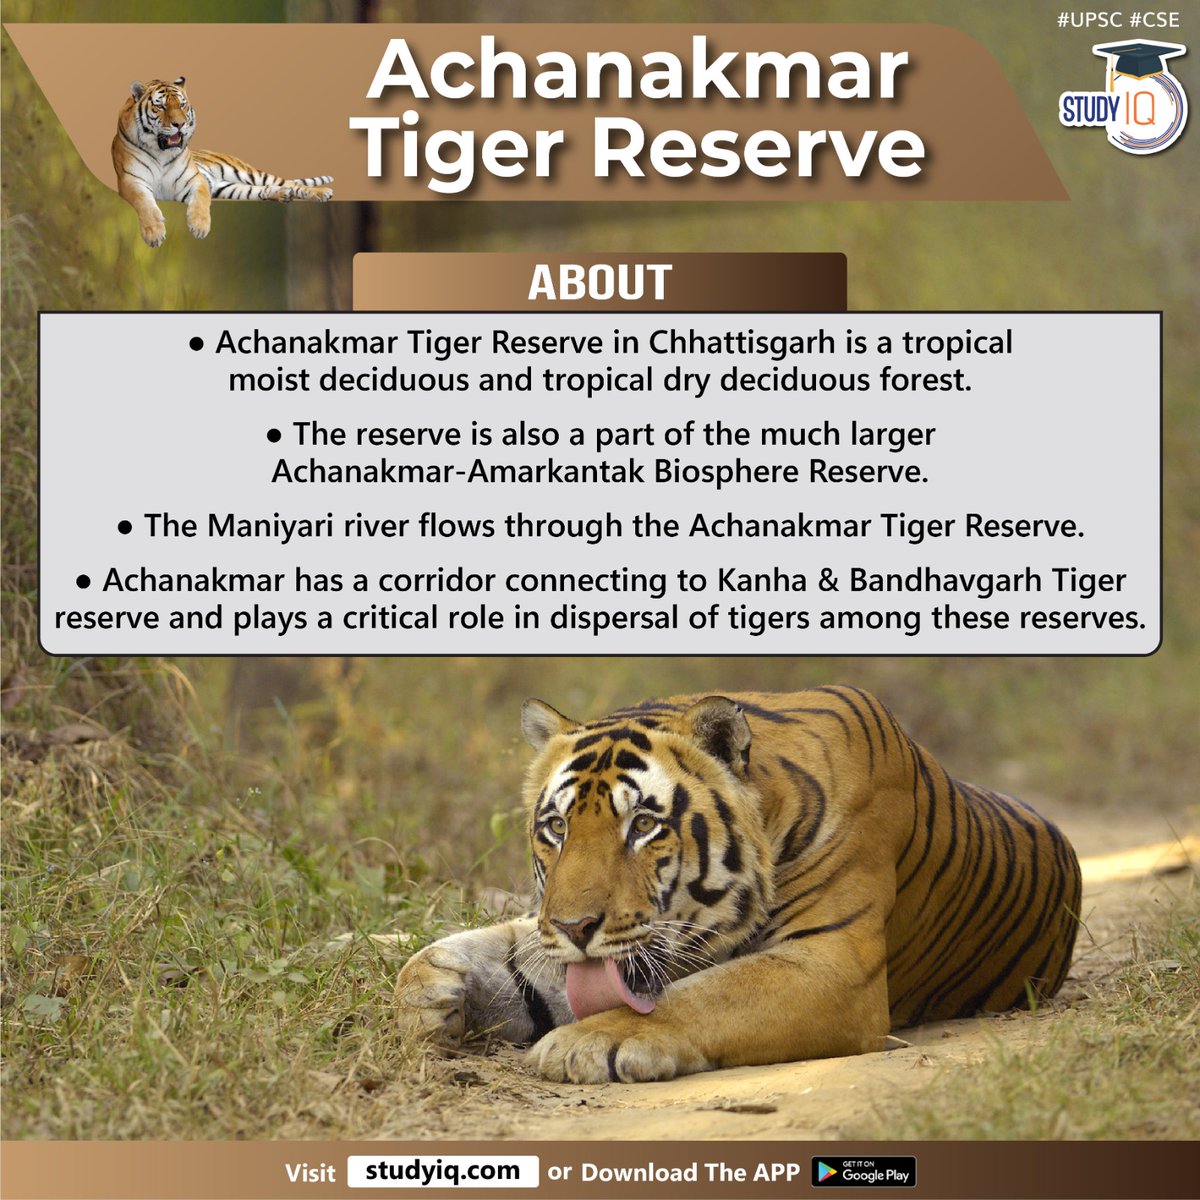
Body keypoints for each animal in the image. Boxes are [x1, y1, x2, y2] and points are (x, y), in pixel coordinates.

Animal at [112, 77, 333, 248]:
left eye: (182, 105)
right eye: (160, 106)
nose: (180, 124)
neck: (161, 153)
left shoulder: (196, 180)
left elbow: (201, 201)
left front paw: (199, 226)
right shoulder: (131, 181)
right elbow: (145, 204)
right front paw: (155, 233)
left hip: (248, 173)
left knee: (290, 183)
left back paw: (321, 193)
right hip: (228, 187)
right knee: (262, 190)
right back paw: (281, 194)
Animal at [395, 687, 1082, 1084]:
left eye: (643, 824)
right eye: (557, 827)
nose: (574, 927)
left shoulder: (831, 964)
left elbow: (703, 996)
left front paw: (587, 1042)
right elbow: (498, 953)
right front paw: (426, 992)